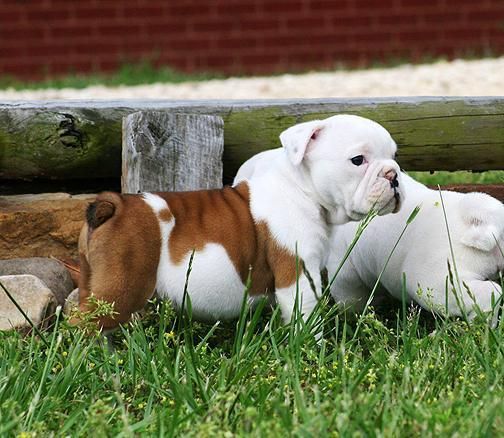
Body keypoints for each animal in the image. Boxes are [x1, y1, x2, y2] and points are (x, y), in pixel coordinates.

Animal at [77, 114, 404, 330]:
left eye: (394, 156)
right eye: (358, 160)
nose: (393, 175)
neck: (300, 188)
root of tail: (113, 206)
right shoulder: (298, 270)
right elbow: (306, 312)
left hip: (91, 278)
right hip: (121, 284)